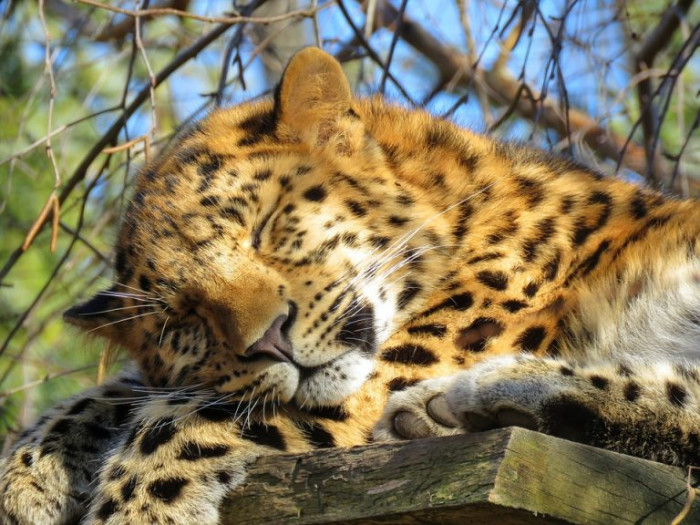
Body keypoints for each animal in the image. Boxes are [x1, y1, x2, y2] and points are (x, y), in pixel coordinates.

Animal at [1, 47, 699, 525]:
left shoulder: (386, 371)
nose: (270, 341)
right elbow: (129, 393)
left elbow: (174, 417)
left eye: (265, 227)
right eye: (183, 321)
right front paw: (24, 478)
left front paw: (135, 509)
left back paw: (480, 394)